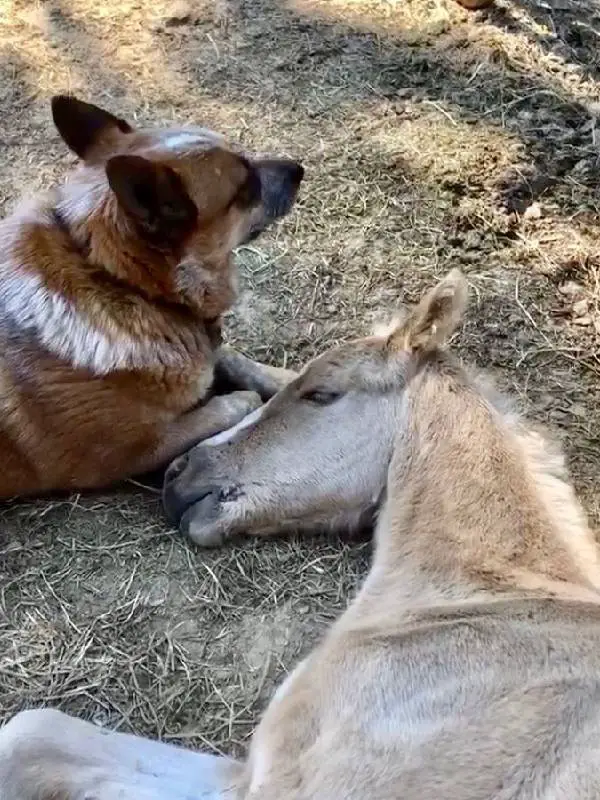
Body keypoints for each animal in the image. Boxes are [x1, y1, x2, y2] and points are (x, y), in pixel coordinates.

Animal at [0, 92, 302, 494]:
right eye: (245, 188)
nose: (299, 168)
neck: (117, 282)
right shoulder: (134, 452)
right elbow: (228, 405)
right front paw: (242, 399)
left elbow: (234, 358)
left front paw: (287, 378)